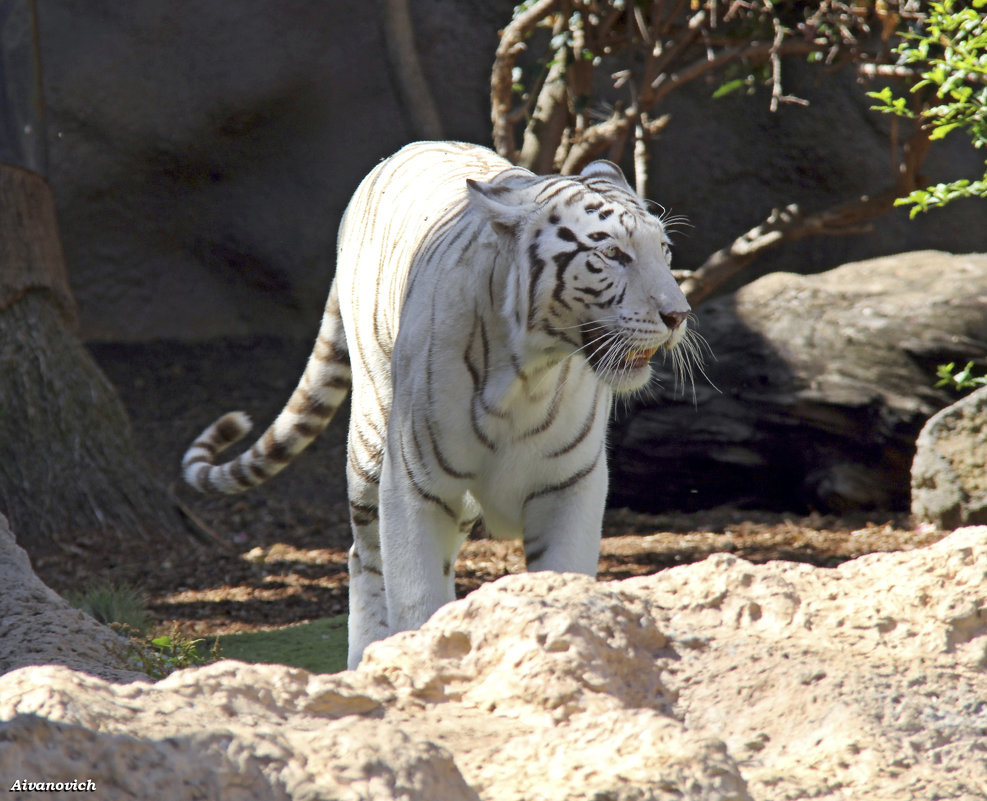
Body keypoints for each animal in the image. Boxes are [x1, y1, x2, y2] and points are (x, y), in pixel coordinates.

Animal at [185, 141, 696, 664]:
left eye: (665, 250)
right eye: (612, 253)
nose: (679, 314)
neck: (529, 375)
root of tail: (406, 150)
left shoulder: (569, 485)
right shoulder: (415, 482)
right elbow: (415, 595)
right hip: (370, 444)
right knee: (364, 557)